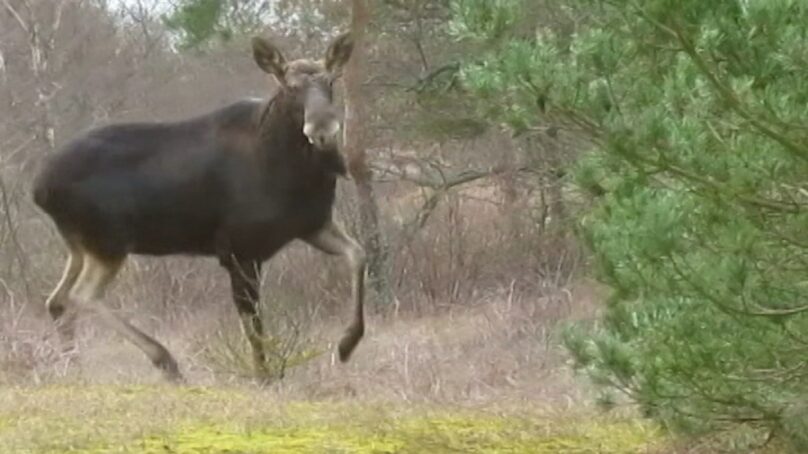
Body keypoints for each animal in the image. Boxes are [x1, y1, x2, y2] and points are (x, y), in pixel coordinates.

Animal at [31, 30, 366, 382]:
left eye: (331, 81)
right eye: (289, 86)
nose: (322, 128)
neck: (296, 175)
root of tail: (38, 188)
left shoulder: (313, 225)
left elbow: (358, 254)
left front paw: (346, 344)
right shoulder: (239, 249)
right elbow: (253, 324)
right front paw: (264, 376)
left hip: (80, 245)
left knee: (56, 300)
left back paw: (75, 367)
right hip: (109, 240)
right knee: (83, 295)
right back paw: (165, 359)